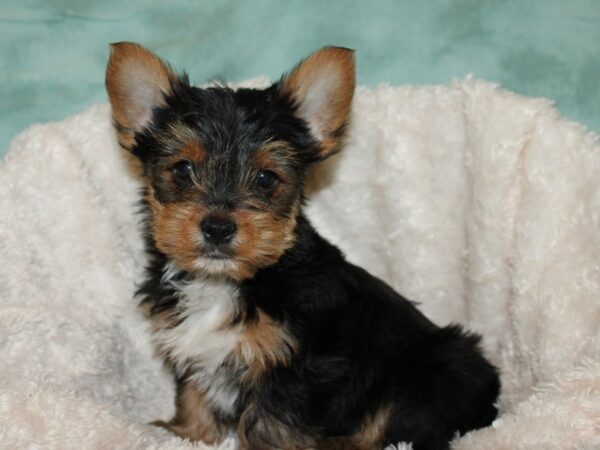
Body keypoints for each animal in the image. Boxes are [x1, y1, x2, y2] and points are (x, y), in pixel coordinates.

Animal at [105, 43, 500, 450]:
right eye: (183, 170)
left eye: (266, 178)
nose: (217, 227)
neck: (228, 280)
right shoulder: (190, 342)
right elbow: (193, 390)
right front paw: (189, 433)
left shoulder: (296, 363)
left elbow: (272, 421)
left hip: (440, 370)